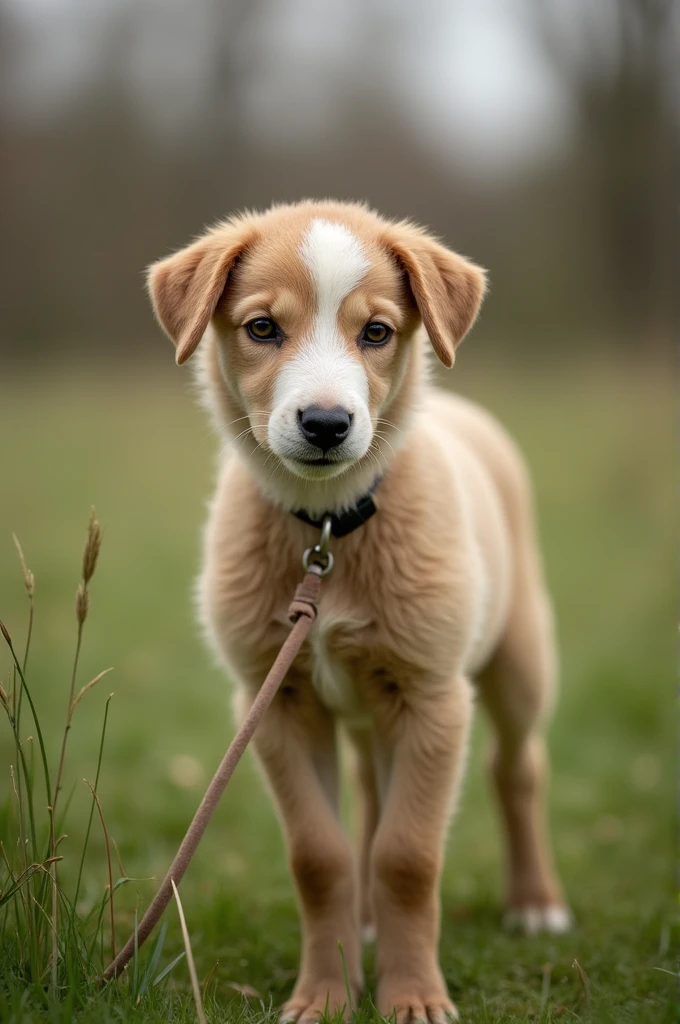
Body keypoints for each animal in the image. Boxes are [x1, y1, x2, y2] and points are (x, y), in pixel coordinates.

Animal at [147, 199, 569, 1024]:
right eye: (262, 328)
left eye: (375, 332)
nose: (325, 423)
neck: (328, 530)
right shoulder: (276, 700)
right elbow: (323, 857)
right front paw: (326, 994)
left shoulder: (434, 697)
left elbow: (409, 855)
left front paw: (414, 998)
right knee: (374, 794)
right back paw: (370, 924)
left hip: (517, 658)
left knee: (518, 768)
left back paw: (535, 903)